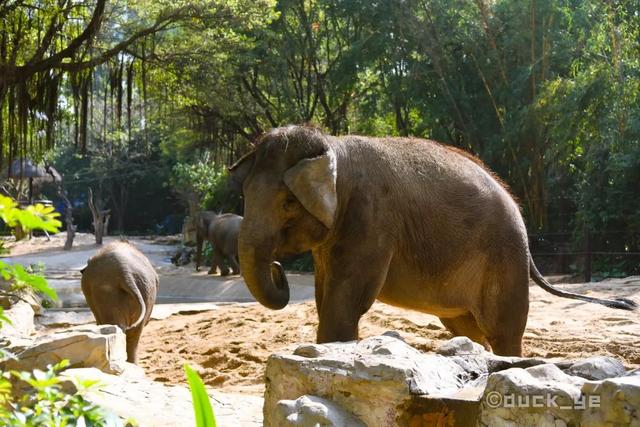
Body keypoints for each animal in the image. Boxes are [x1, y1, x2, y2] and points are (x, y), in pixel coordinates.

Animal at [229, 124, 636, 358]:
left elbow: (346, 301)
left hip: (504, 258)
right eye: (245, 194)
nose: (278, 268)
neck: (333, 147)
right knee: (467, 327)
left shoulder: (370, 218)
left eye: (287, 203)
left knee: (503, 330)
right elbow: (325, 293)